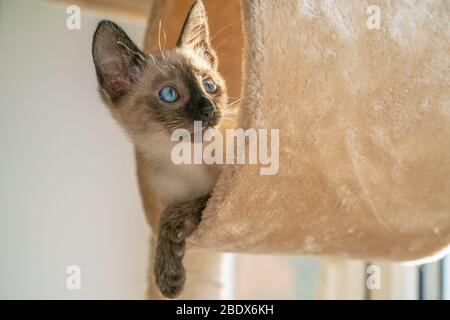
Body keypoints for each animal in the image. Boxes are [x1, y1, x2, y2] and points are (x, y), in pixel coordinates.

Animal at [91, 1, 227, 298]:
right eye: (169, 94)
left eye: (209, 85)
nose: (209, 109)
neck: (186, 163)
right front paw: (167, 272)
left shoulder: (217, 193)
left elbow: (180, 209)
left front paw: (167, 275)